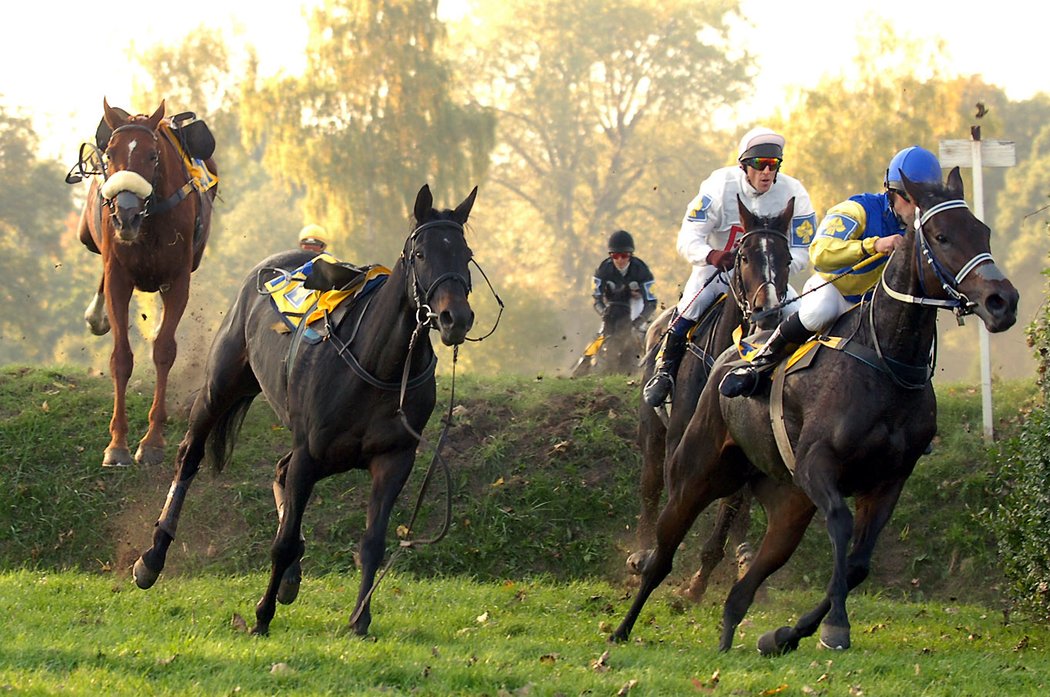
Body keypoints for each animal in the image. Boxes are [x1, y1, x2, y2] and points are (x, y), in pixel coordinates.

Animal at [75, 98, 217, 466]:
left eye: (152, 156)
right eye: (110, 154)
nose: (126, 214)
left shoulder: (178, 279)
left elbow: (164, 350)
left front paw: (152, 441)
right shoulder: (119, 276)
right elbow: (121, 358)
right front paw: (117, 444)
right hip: (87, 236)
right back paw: (96, 316)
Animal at [134, 183, 476, 638]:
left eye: (466, 254)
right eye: (420, 254)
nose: (456, 317)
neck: (377, 366)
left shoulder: (393, 458)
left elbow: (372, 540)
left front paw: (359, 618)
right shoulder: (310, 454)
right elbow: (281, 543)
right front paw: (261, 616)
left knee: (280, 471)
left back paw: (291, 577)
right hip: (221, 385)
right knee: (190, 455)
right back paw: (152, 558)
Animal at [613, 167, 1016, 655]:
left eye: (982, 232)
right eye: (941, 236)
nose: (1002, 301)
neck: (888, 360)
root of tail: (739, 347)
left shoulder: (889, 481)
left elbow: (858, 563)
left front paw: (788, 632)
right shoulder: (816, 464)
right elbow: (841, 527)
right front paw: (833, 627)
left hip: (784, 503)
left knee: (748, 567)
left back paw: (730, 626)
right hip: (688, 466)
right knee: (660, 527)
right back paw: (627, 615)